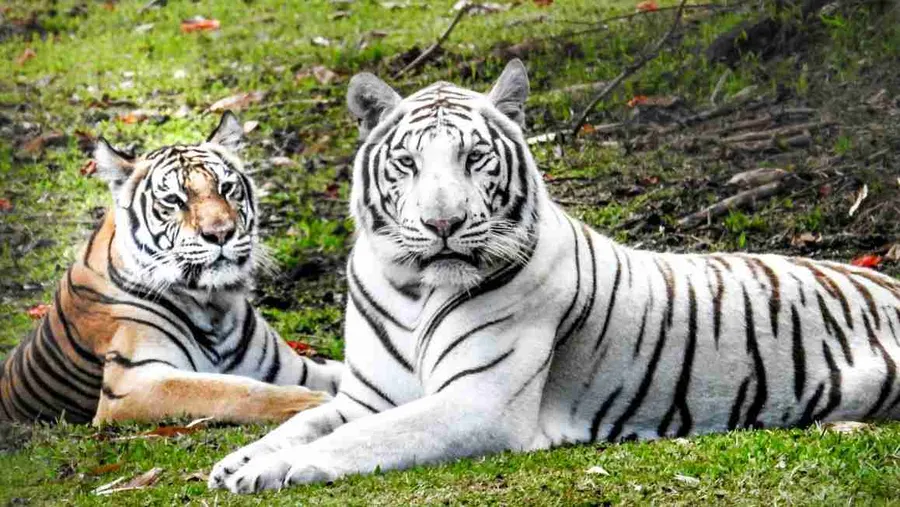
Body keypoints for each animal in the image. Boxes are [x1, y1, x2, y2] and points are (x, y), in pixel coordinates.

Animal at [0, 112, 342, 425]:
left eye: (226, 187)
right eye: (174, 200)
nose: (221, 233)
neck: (212, 303)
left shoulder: (297, 368)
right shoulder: (133, 384)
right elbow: (227, 390)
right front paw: (311, 403)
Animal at [208, 60, 900, 493]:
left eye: (474, 157)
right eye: (407, 163)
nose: (442, 223)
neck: (413, 287)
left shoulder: (477, 401)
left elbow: (363, 438)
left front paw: (271, 470)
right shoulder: (365, 397)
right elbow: (302, 421)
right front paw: (234, 462)